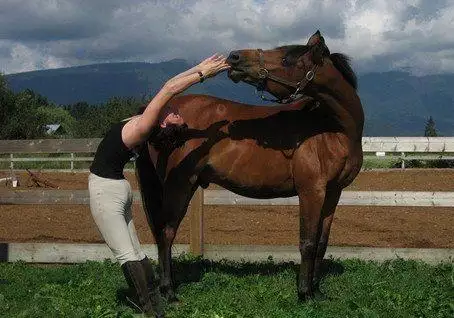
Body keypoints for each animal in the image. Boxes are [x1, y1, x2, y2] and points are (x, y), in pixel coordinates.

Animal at [136, 31, 366, 302]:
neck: (333, 129)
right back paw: (169, 291)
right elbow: (307, 242)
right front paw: (304, 293)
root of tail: (157, 113)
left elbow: (321, 242)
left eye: (286, 59)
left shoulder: (332, 193)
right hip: (179, 186)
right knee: (166, 233)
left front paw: (317, 291)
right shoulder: (312, 191)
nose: (234, 57)